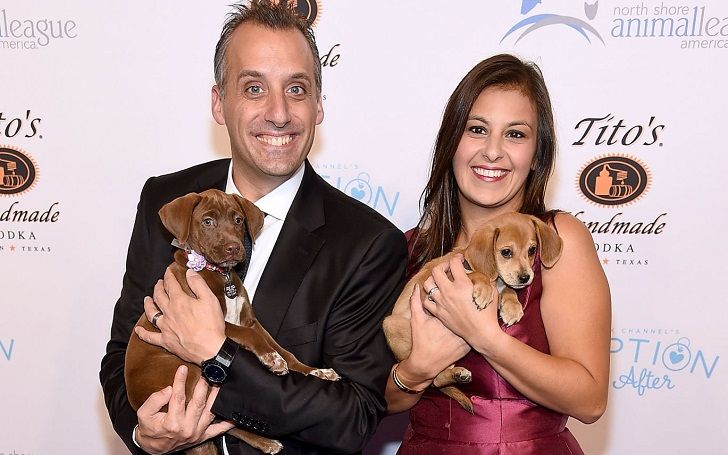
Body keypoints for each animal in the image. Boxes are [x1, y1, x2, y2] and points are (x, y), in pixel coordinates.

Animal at [123, 189, 340, 455]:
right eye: (207, 221)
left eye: (238, 220)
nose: (234, 248)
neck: (221, 275)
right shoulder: (216, 322)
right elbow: (251, 337)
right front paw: (271, 359)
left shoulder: (250, 320)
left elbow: (283, 350)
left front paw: (313, 371)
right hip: (184, 370)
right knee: (211, 418)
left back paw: (265, 440)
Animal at [382, 212, 564, 416]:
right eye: (506, 252)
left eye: (532, 250)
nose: (526, 278)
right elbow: (478, 275)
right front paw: (484, 290)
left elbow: (509, 289)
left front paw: (512, 307)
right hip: (392, 325)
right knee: (433, 379)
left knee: (437, 380)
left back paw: (457, 374)